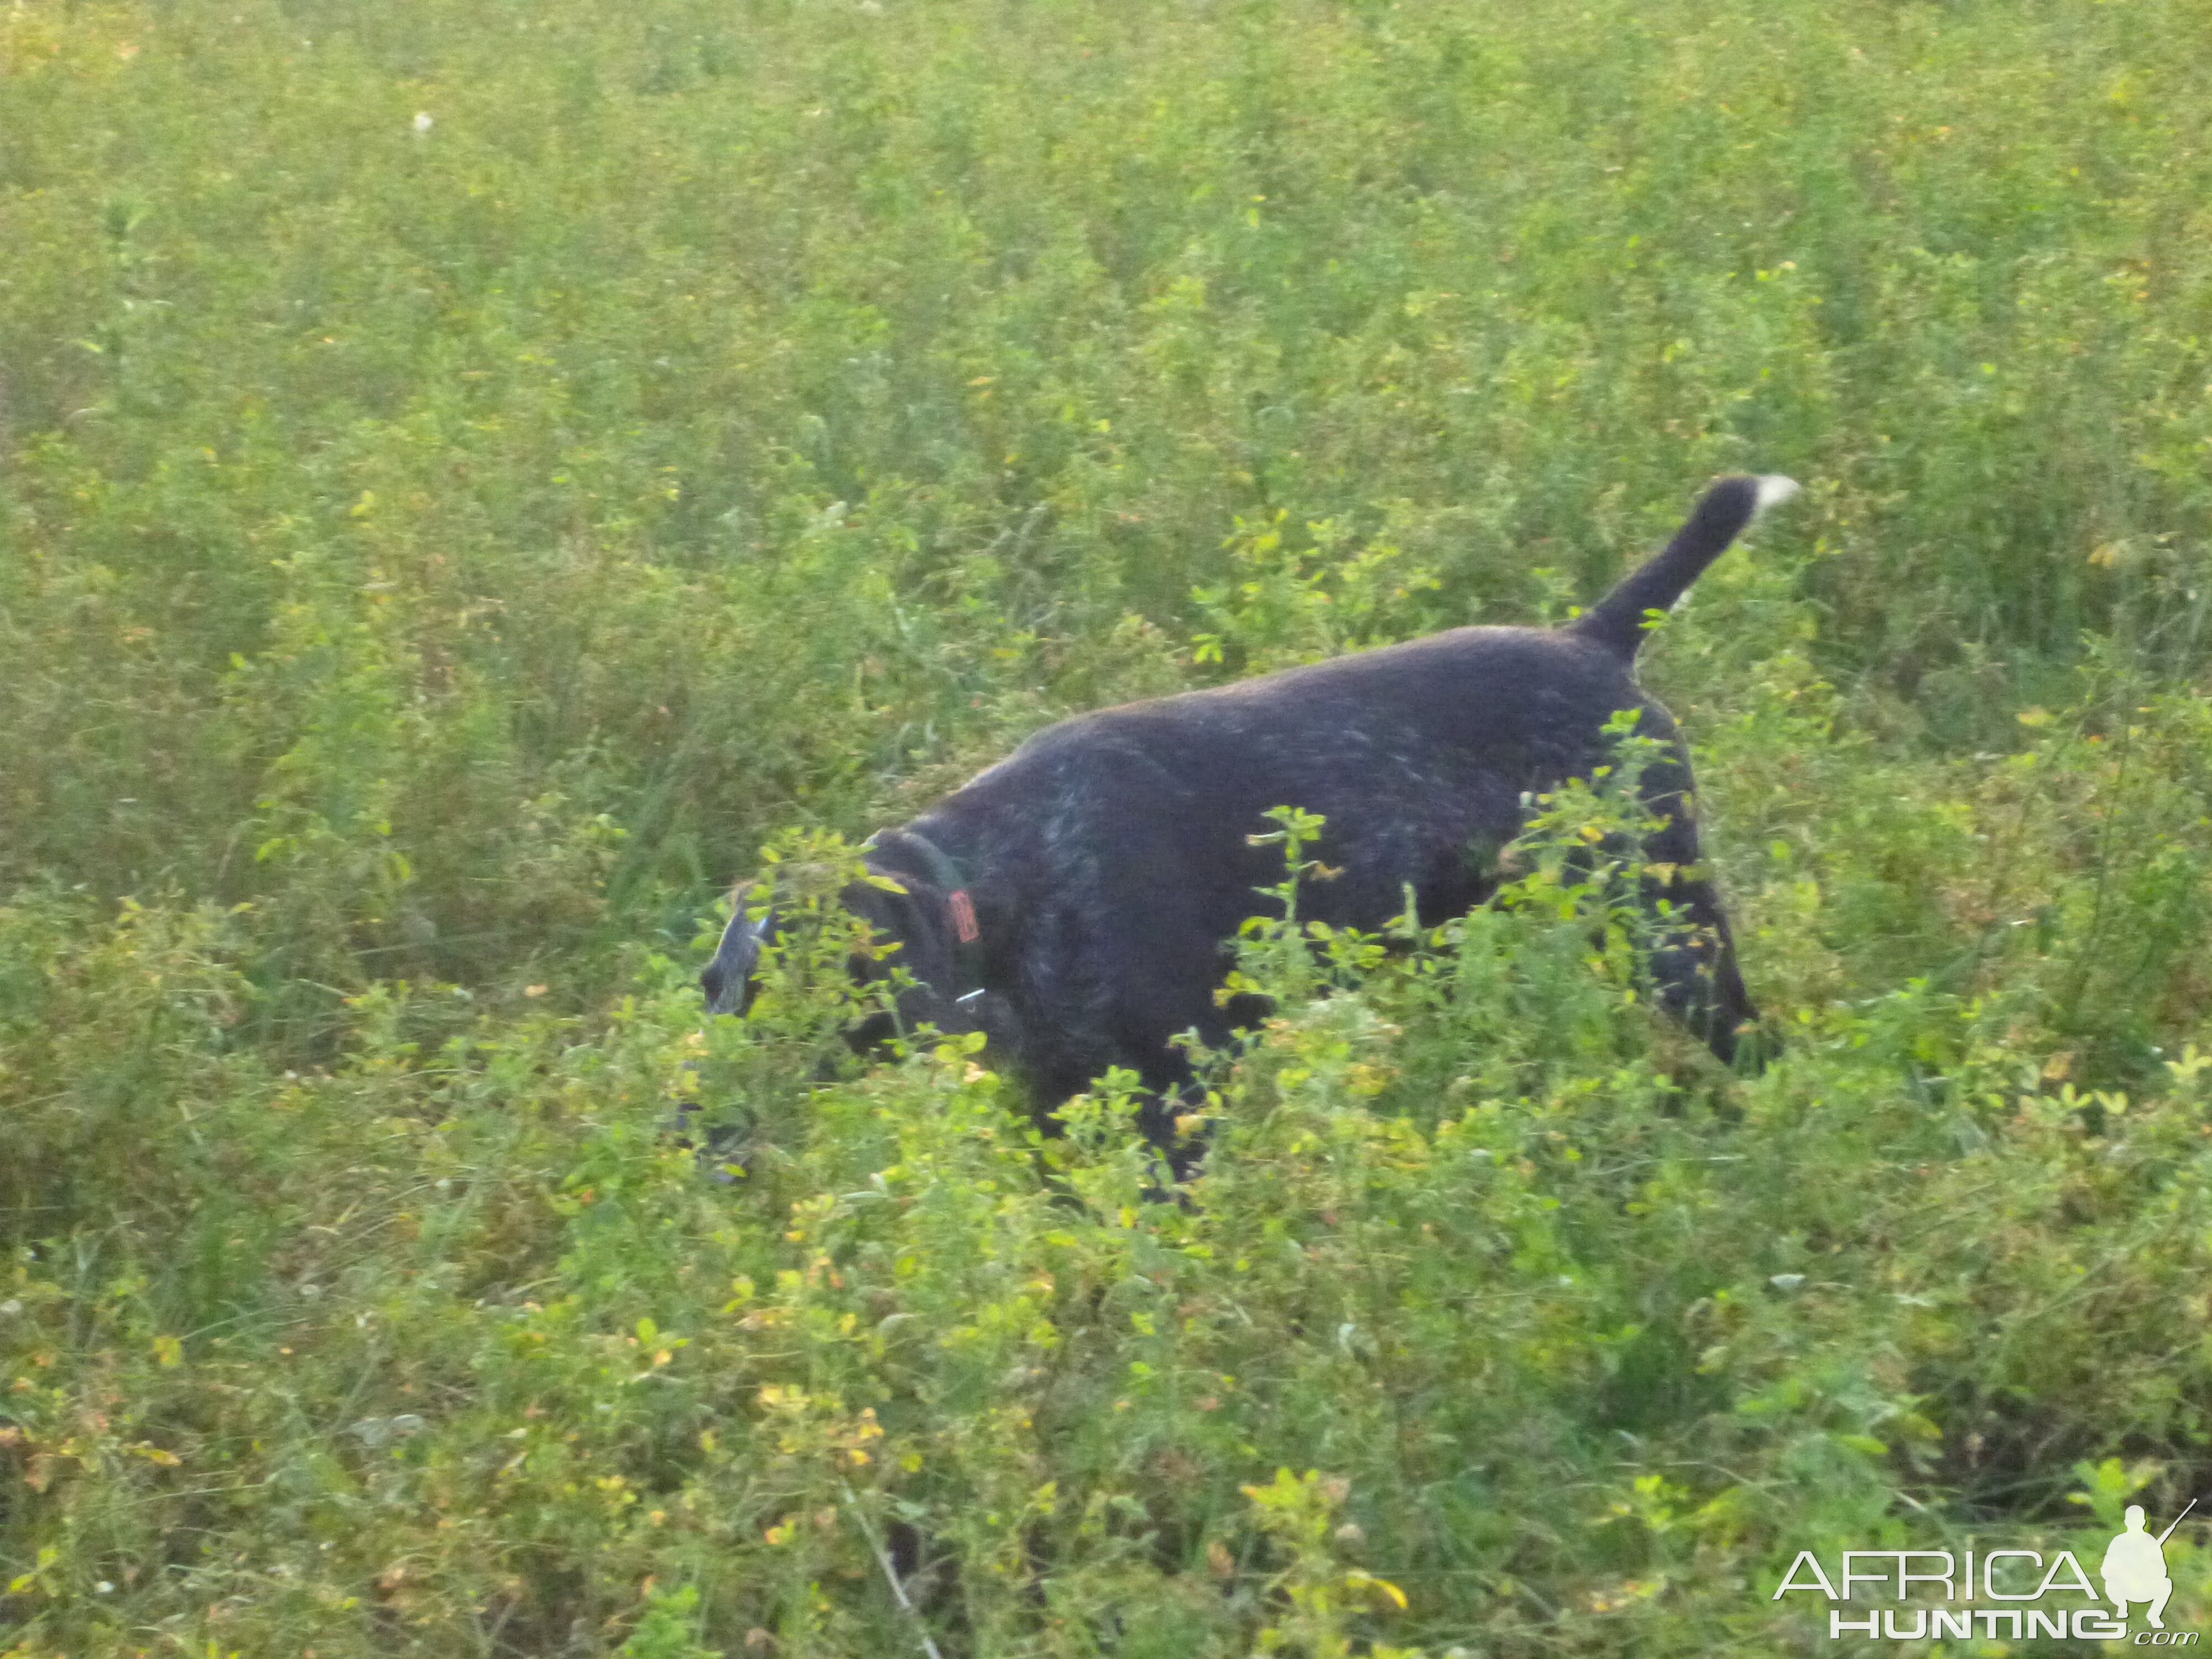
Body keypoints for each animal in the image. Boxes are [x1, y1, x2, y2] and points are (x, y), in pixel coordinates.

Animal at [708, 471, 1796, 1141]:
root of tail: (1593, 638)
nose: (696, 1115)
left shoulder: (1189, 1088)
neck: (1008, 888)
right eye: (716, 987)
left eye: (792, 990)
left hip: (1672, 934)